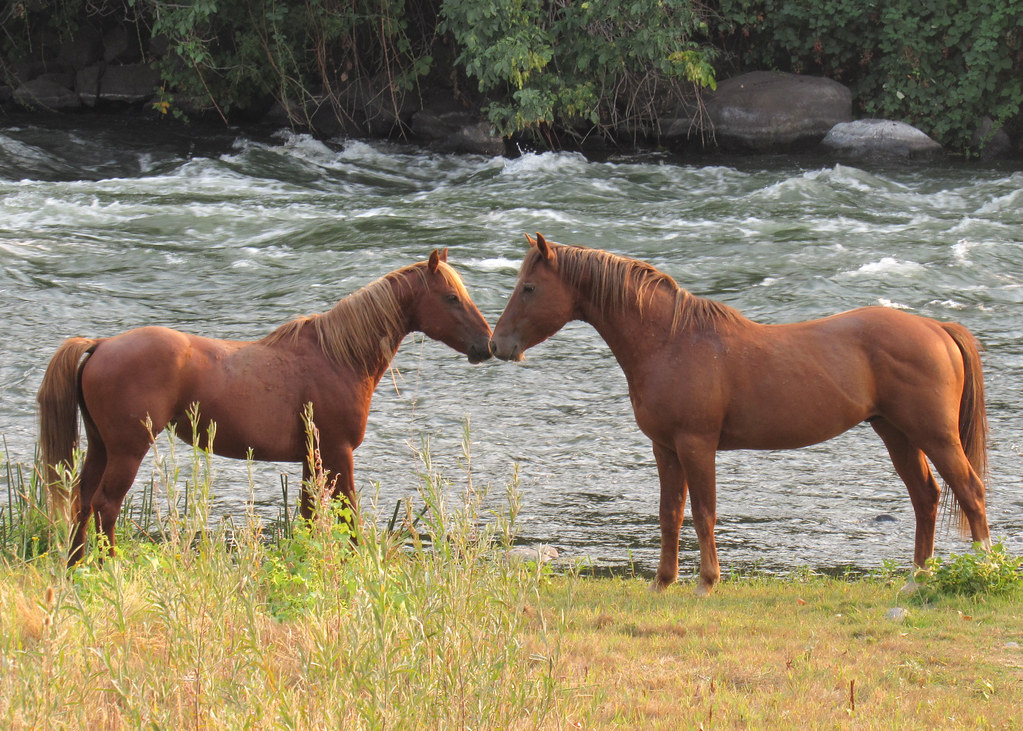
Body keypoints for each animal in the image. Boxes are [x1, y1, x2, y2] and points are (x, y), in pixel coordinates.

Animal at [38, 249, 493, 566]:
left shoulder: (313, 458)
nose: (486, 345)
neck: (337, 356)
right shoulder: (339, 454)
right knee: (105, 506)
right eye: (451, 298)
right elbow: (348, 516)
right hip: (127, 451)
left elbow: (309, 517)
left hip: (101, 448)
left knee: (83, 501)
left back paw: (75, 567)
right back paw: (108, 567)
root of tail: (101, 345)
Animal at [491, 233, 991, 596]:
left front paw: (706, 583)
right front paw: (662, 583)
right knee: (926, 498)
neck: (672, 341)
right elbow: (669, 513)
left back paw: (984, 569)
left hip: (934, 434)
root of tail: (936, 328)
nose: (498, 345)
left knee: (970, 491)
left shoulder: (697, 444)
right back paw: (916, 580)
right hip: (897, 433)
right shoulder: (664, 447)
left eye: (529, 288)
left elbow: (703, 512)